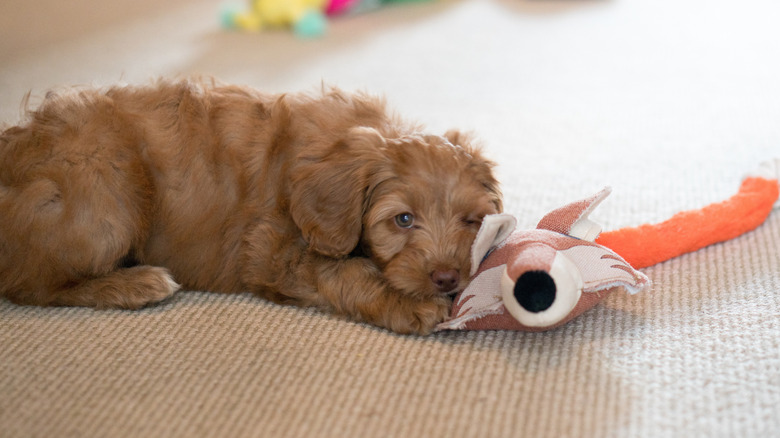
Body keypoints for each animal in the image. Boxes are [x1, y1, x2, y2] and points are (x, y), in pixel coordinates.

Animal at [0, 78, 500, 334]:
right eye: (403, 220)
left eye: (472, 220)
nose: (447, 278)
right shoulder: (270, 253)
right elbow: (343, 270)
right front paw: (406, 303)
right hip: (104, 197)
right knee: (33, 284)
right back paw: (134, 284)